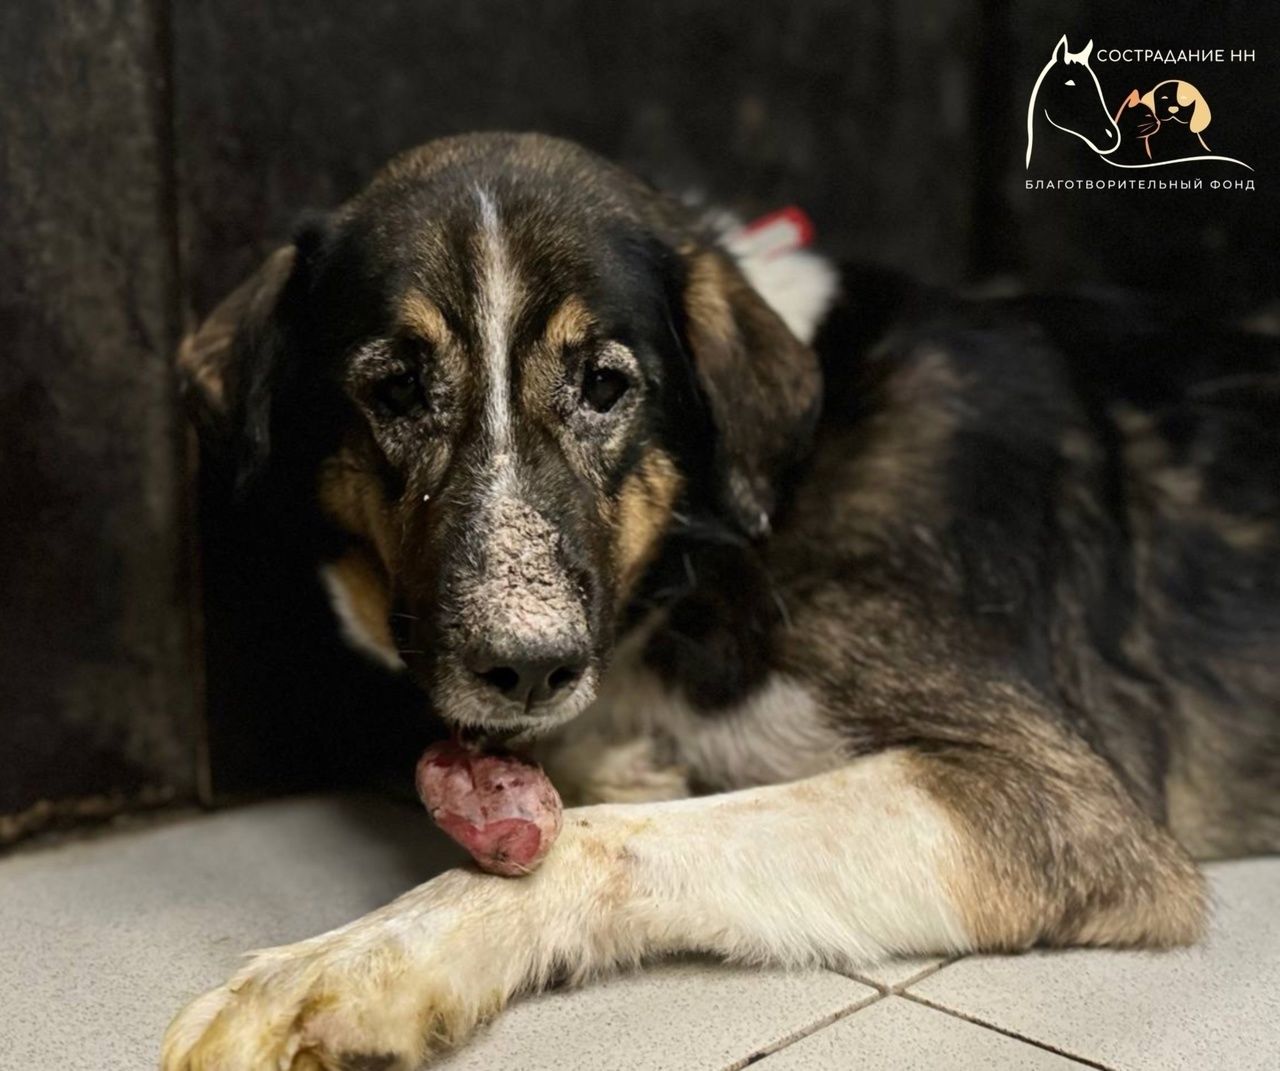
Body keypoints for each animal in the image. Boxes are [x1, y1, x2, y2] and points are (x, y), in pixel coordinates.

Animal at [160, 133, 1280, 1069]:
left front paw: (353, 966)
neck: (735, 531)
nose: (526, 663)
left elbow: (600, 839)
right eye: (391, 390)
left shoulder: (1055, 802)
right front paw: (626, 761)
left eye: (605, 386)